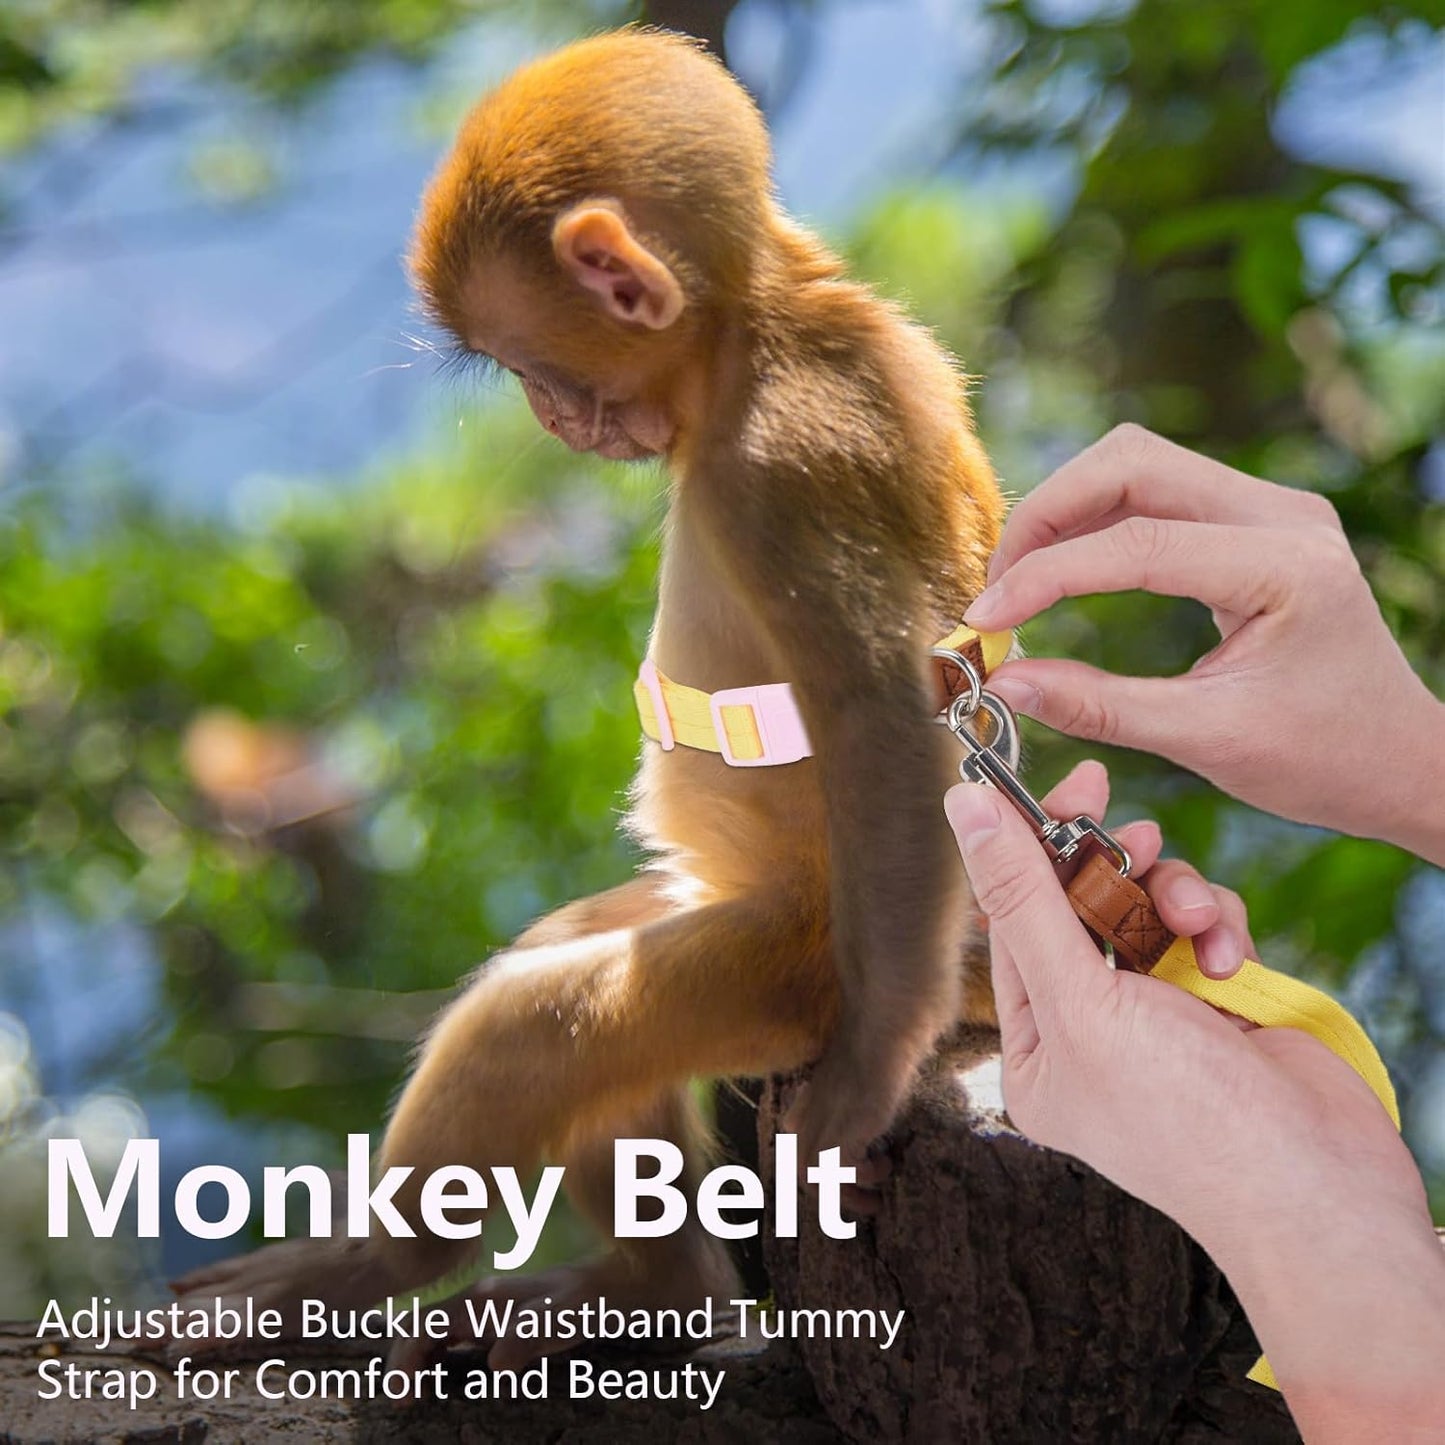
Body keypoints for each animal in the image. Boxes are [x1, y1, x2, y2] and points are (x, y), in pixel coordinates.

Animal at [172, 28, 1005, 1368]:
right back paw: (659, 1294)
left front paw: (869, 1075)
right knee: (572, 966)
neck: (762, 329)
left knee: (541, 1014)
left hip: (791, 962)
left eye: (528, 363)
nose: (547, 413)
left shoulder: (783, 465)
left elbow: (879, 712)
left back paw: (374, 1265)